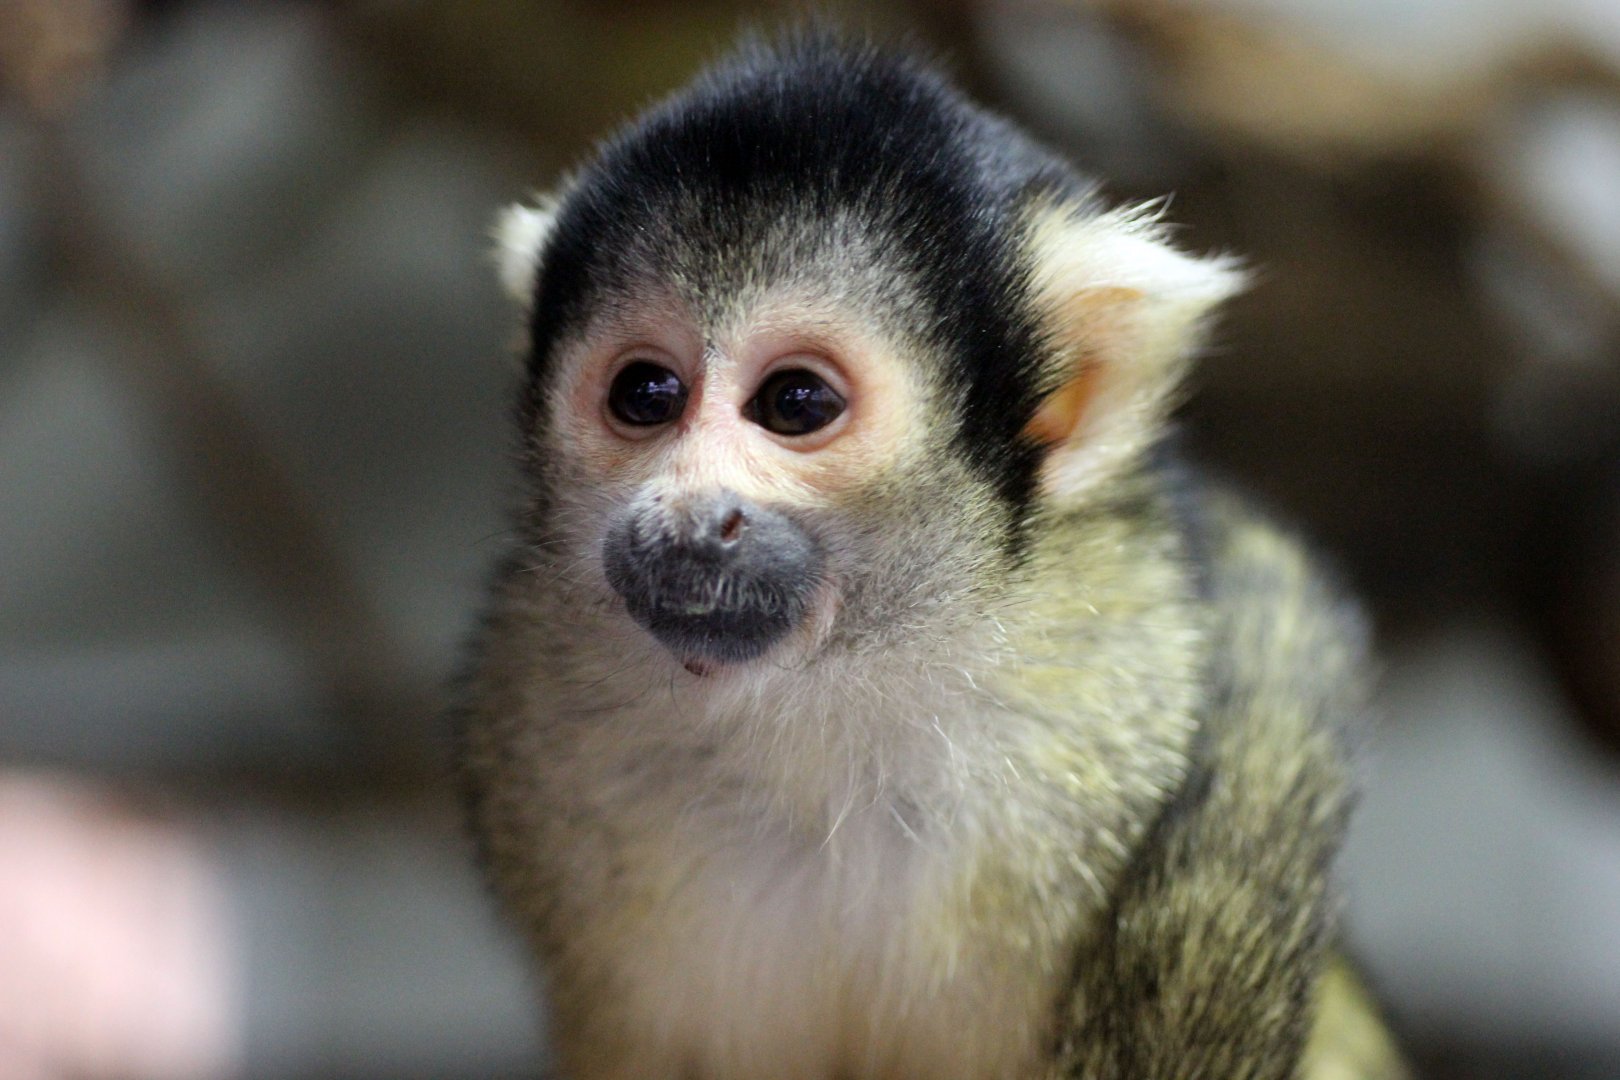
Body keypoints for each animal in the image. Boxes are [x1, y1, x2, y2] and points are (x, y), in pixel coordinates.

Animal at [454, 31, 1409, 1080]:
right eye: (645, 394)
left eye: (795, 404)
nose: (694, 515)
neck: (827, 700)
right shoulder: (529, 719)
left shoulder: (1116, 683)